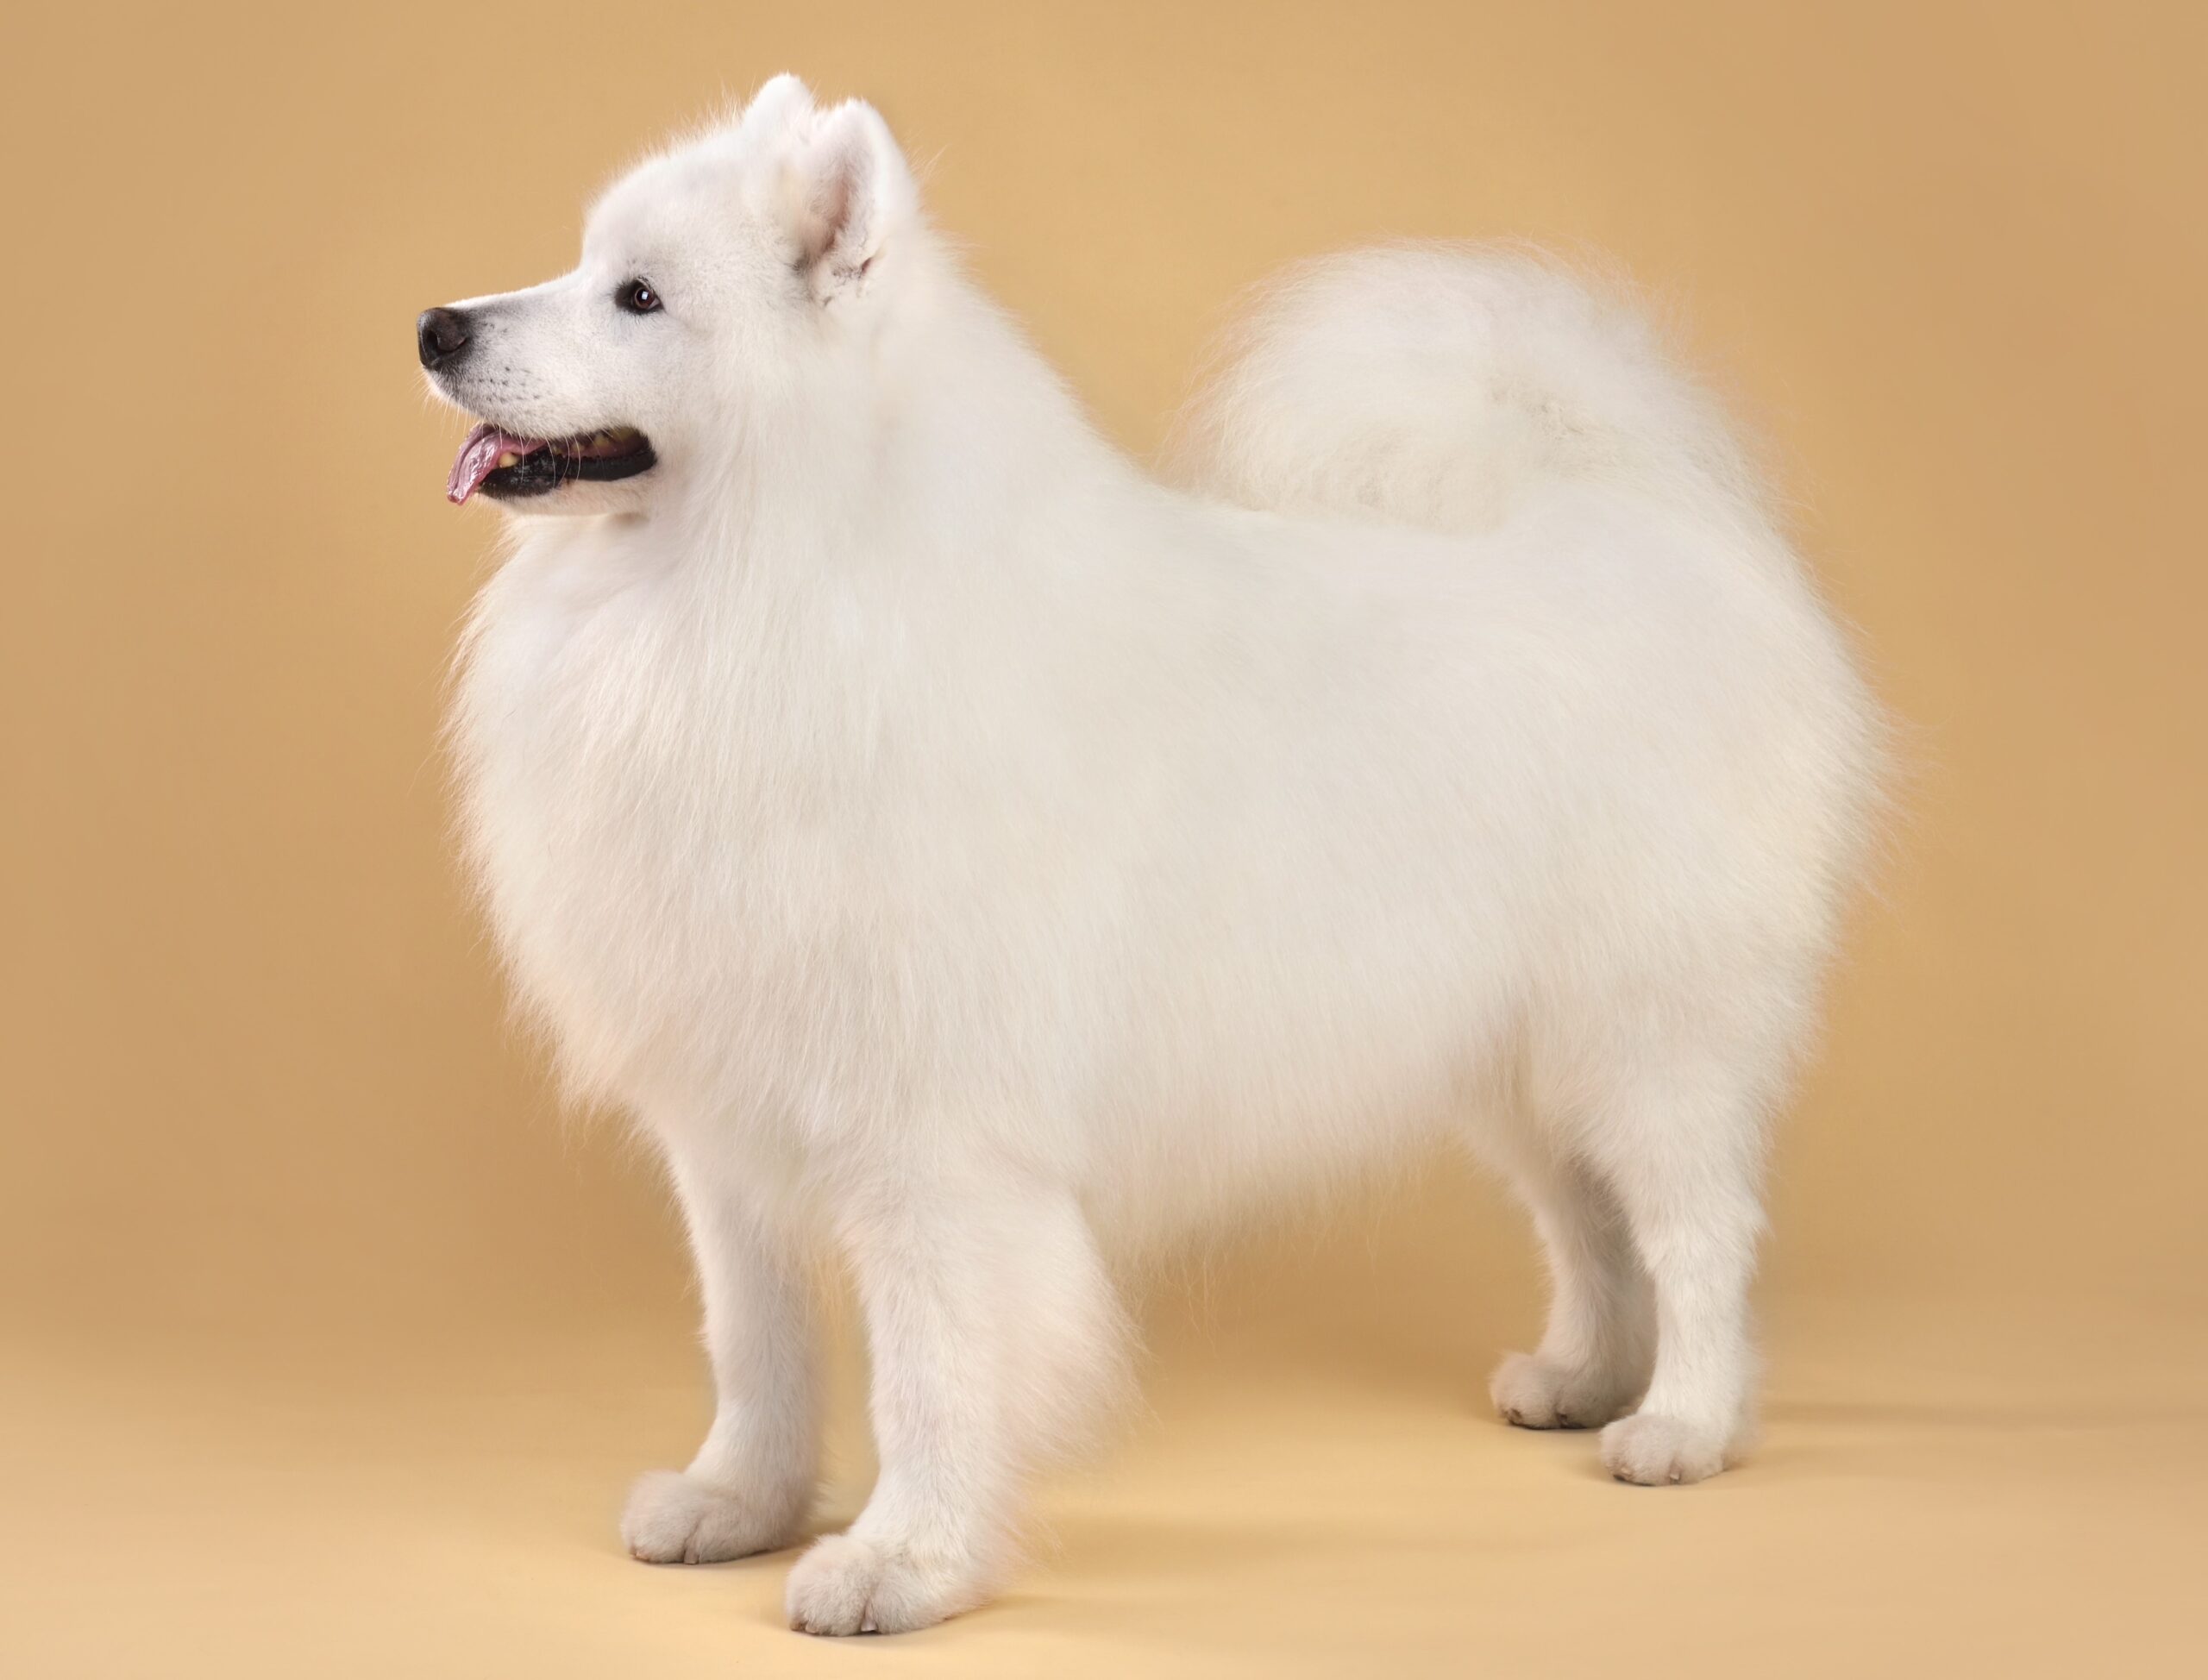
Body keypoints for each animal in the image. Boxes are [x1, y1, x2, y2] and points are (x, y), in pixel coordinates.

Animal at [421, 72, 1890, 1633]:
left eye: (638, 297)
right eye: (584, 264)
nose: (438, 325)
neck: (761, 594)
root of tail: (1638, 519)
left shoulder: (936, 1142)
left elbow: (930, 1368)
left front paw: (902, 1559)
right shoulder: (729, 1122)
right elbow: (755, 1343)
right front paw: (740, 1503)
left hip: (1646, 1035)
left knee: (1698, 1230)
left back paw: (1682, 1421)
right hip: (1512, 1050)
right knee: (1591, 1223)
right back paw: (1586, 1376)